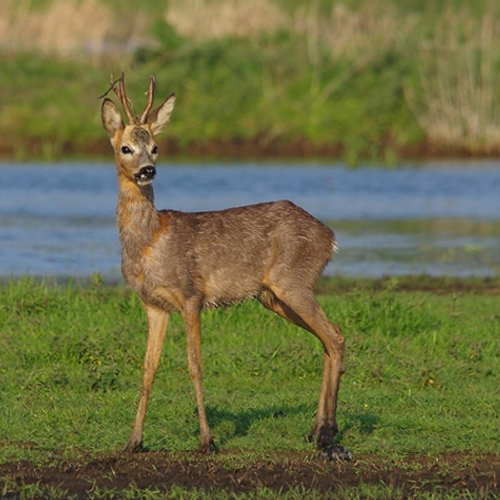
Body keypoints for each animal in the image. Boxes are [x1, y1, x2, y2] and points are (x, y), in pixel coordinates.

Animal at [100, 72, 352, 458]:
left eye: (156, 146)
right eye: (126, 147)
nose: (147, 170)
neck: (150, 241)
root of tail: (330, 236)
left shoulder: (191, 294)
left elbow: (195, 365)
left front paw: (207, 440)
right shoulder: (153, 303)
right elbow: (148, 368)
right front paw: (133, 441)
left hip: (293, 281)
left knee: (335, 336)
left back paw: (326, 434)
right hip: (273, 296)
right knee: (328, 338)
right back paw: (317, 431)